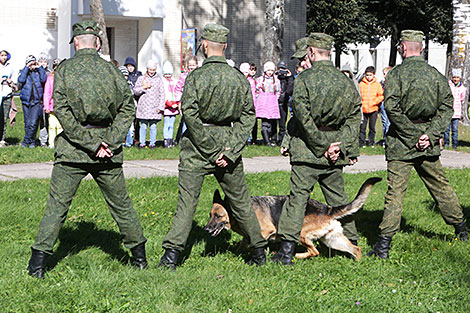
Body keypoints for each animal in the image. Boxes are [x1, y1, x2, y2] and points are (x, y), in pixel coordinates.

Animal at [206, 177, 382, 260]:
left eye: (218, 216)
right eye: (210, 215)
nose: (206, 229)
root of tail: (328, 209)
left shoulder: (265, 232)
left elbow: (252, 246)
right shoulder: (248, 237)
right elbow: (244, 245)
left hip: (302, 234)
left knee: (315, 251)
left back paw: (297, 256)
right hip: (332, 239)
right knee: (356, 249)